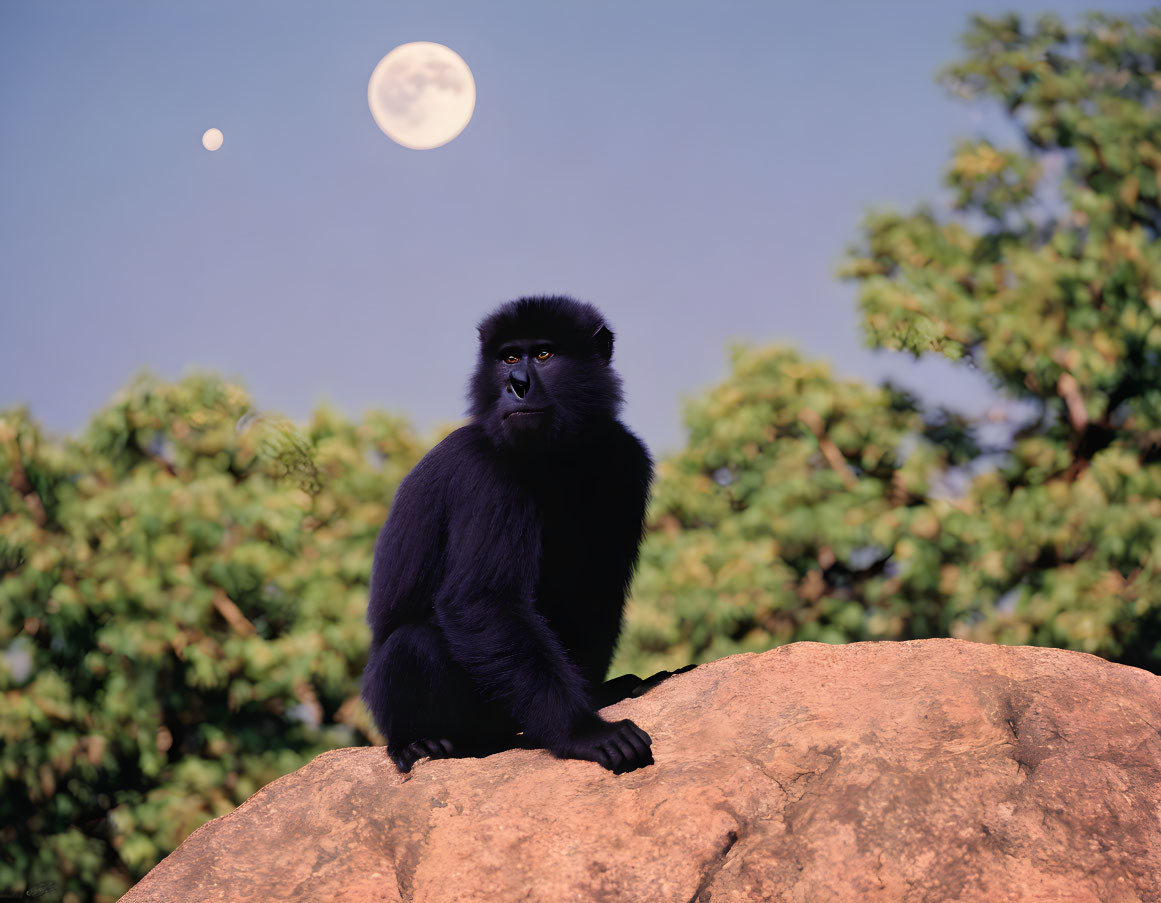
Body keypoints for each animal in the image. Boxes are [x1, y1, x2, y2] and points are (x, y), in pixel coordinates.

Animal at [362, 297, 654, 775]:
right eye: (510, 358)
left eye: (543, 354)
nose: (516, 385)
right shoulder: (487, 471)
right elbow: (482, 602)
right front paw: (583, 732)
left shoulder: (626, 457)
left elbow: (600, 591)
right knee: (413, 643)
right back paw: (420, 741)